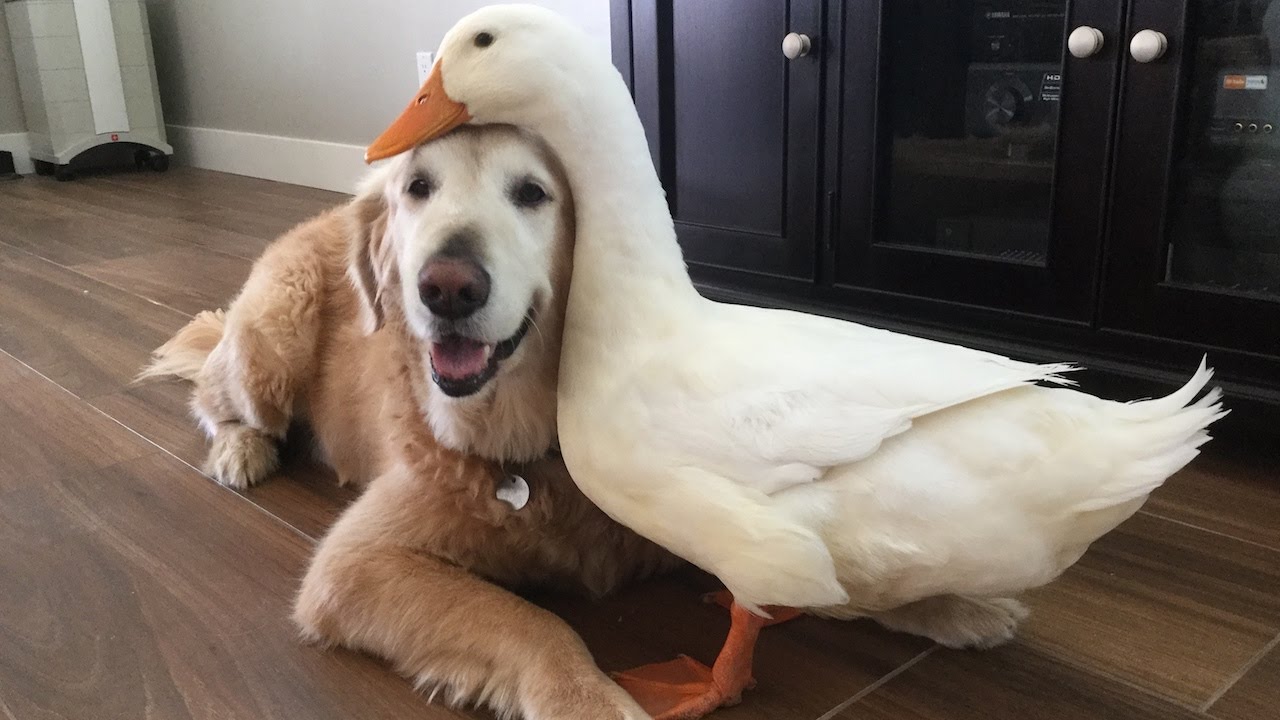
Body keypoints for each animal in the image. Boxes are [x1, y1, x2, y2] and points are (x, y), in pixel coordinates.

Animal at [141, 124, 675, 717]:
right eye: (419, 187)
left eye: (532, 193)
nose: (446, 288)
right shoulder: (353, 563)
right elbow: (534, 622)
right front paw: (588, 700)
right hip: (273, 345)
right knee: (214, 399)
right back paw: (241, 450)